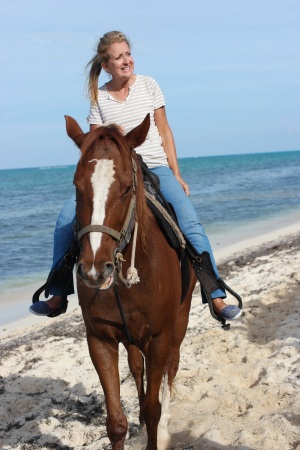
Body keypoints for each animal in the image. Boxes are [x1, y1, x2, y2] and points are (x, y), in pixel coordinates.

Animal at [65, 113, 197, 450]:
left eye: (126, 189)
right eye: (77, 186)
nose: (95, 269)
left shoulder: (159, 337)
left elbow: (153, 407)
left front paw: (157, 429)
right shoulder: (100, 340)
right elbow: (116, 421)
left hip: (179, 322)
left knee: (171, 367)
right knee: (138, 368)